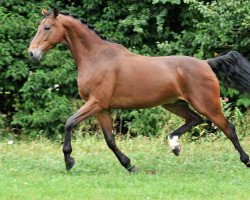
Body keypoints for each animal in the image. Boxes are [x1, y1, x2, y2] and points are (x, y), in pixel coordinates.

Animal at [27, 8, 250, 172]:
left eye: (47, 27)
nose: (32, 53)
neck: (97, 57)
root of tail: (206, 63)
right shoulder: (102, 108)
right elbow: (110, 140)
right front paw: (130, 166)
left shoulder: (96, 102)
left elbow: (69, 123)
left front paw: (69, 161)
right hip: (174, 104)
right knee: (195, 119)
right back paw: (175, 146)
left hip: (207, 104)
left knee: (228, 128)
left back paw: (246, 160)